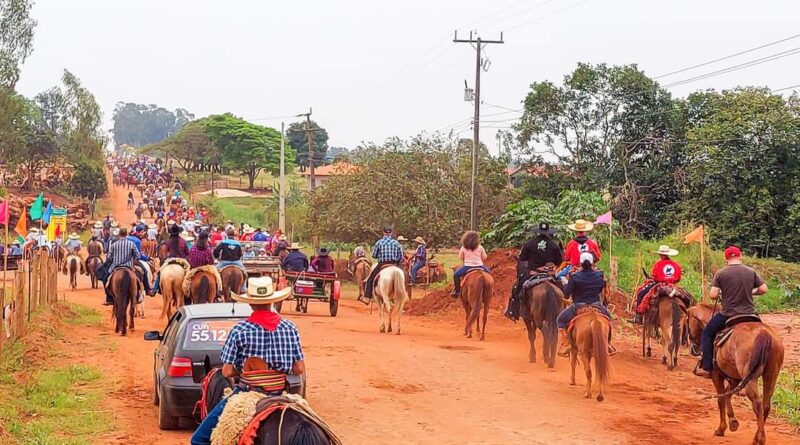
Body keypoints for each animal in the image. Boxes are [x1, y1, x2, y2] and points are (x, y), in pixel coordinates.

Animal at [684, 304, 784, 442]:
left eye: (687, 322)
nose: (693, 349)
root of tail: (763, 333)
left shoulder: (717, 375)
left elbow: (720, 399)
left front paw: (721, 429)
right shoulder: (735, 379)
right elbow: (727, 394)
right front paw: (733, 421)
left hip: (750, 377)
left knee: (757, 404)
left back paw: (759, 439)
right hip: (771, 375)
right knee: (766, 405)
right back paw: (757, 436)